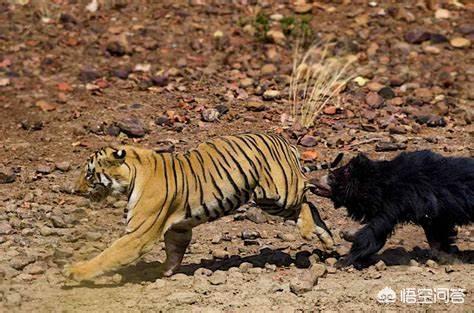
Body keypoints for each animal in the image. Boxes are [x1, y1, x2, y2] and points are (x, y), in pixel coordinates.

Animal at [65, 132, 342, 280]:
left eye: (89, 174)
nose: (74, 190)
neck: (134, 173)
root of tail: (284, 140)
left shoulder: (139, 234)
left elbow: (108, 254)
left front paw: (76, 271)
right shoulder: (178, 228)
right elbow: (174, 251)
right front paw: (164, 272)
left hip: (280, 193)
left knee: (306, 199)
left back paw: (308, 231)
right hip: (271, 201)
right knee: (312, 206)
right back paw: (327, 241)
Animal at [312, 150, 472, 266]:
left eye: (331, 177)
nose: (313, 181)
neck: (377, 184)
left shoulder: (397, 201)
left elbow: (376, 230)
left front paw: (344, 260)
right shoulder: (432, 212)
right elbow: (436, 231)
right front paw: (442, 253)